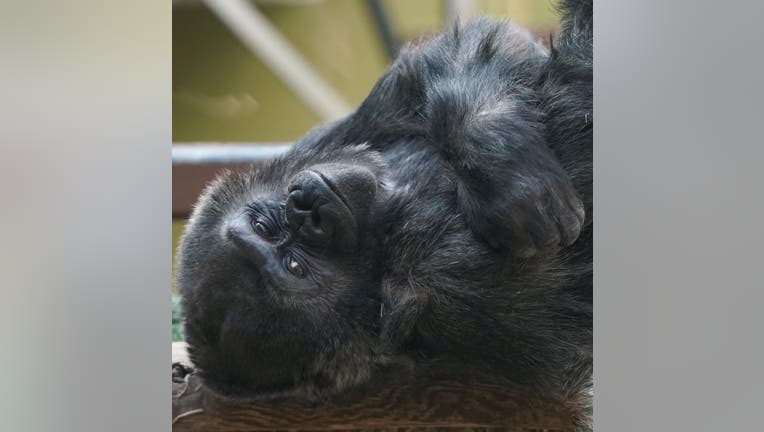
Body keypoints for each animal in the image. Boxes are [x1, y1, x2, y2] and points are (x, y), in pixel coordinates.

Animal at [178, 0, 592, 422]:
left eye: (263, 225)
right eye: (296, 265)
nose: (308, 214)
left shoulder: (331, 138)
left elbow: (448, 61)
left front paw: (499, 151)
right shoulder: (442, 280)